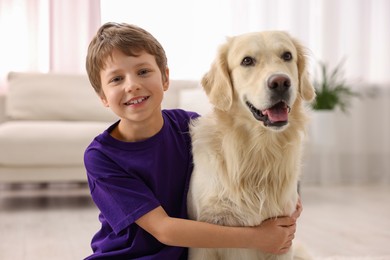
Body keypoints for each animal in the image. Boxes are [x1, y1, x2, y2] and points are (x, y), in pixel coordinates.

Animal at [187, 31, 316, 260]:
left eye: (287, 56)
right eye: (247, 61)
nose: (281, 82)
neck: (258, 149)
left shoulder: (284, 239)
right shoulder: (202, 240)